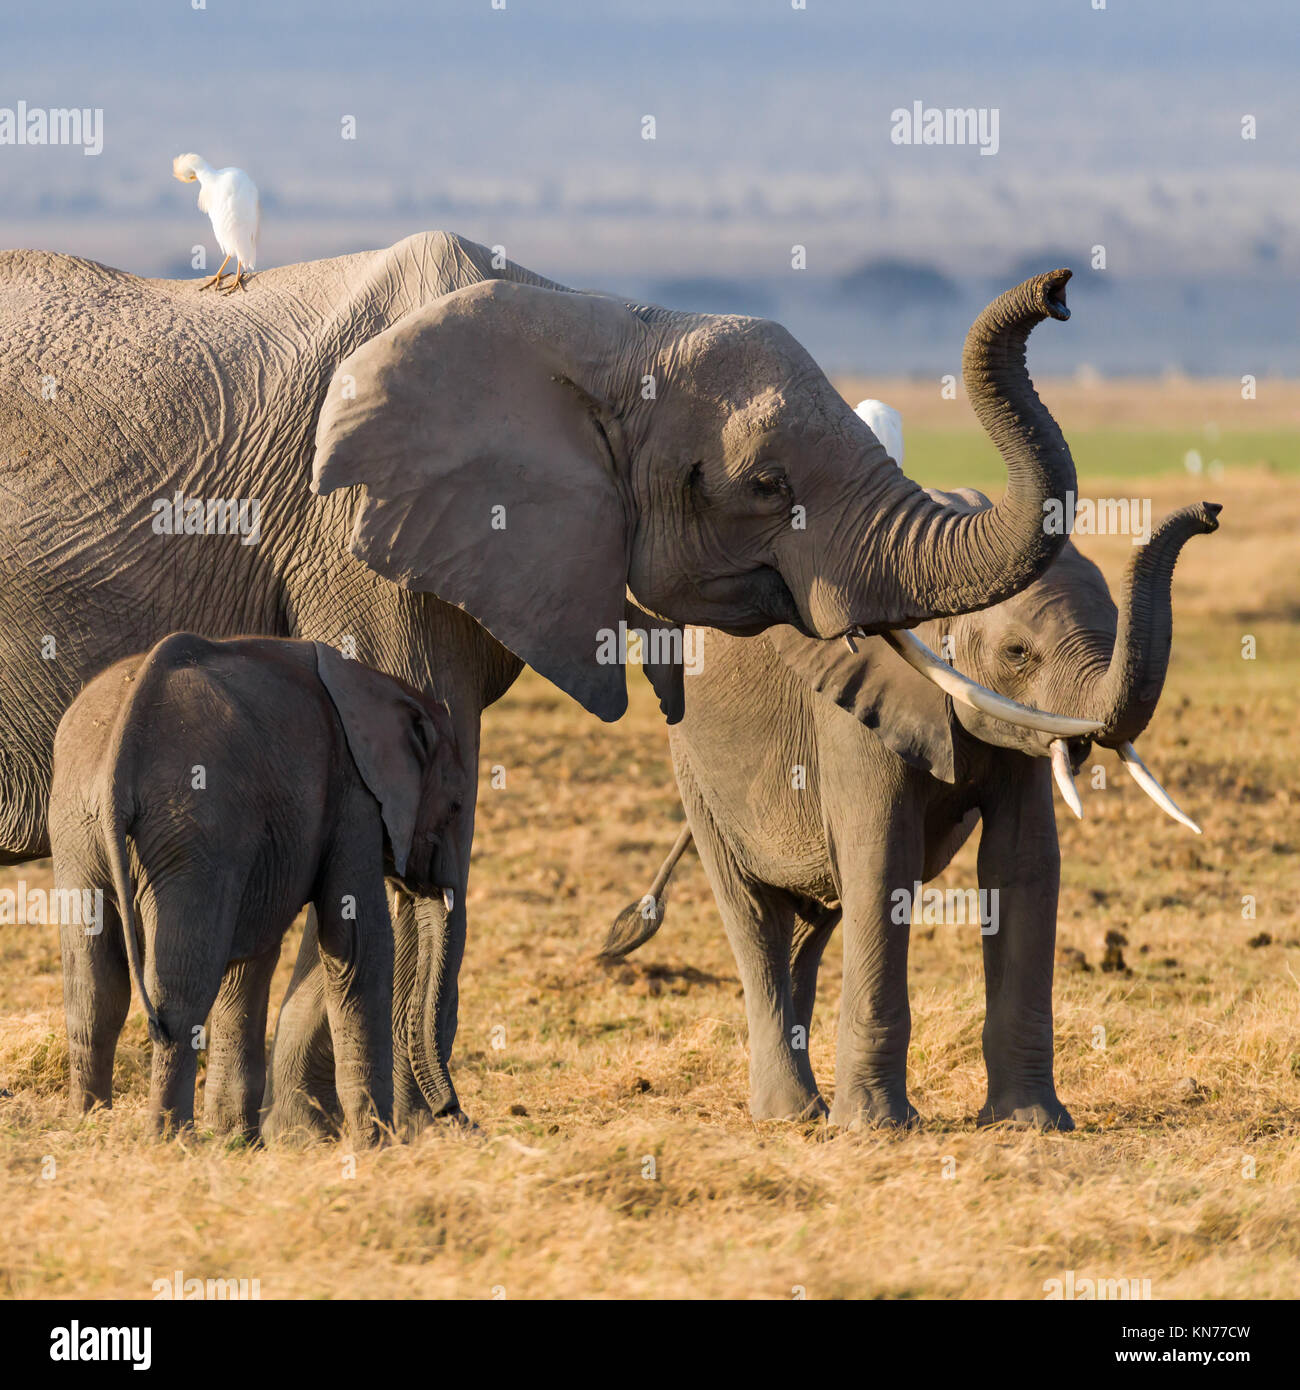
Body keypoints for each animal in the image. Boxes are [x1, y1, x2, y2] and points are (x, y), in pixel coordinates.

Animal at [50, 636, 467, 1145]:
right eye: (456, 806)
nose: (454, 1114)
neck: (382, 686)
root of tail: (124, 735)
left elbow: (250, 956)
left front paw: (238, 1142)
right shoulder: (353, 795)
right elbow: (357, 944)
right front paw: (376, 1145)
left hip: (77, 820)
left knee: (93, 987)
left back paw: (87, 1125)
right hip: (194, 824)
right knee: (180, 988)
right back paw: (171, 1140)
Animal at [606, 411, 1212, 1128]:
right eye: (1018, 653)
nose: (1209, 512)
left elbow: (1023, 861)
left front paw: (1030, 1124)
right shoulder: (855, 709)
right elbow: (882, 859)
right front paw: (876, 1129)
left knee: (811, 922)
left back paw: (808, 1109)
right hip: (693, 766)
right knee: (755, 914)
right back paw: (789, 1115)